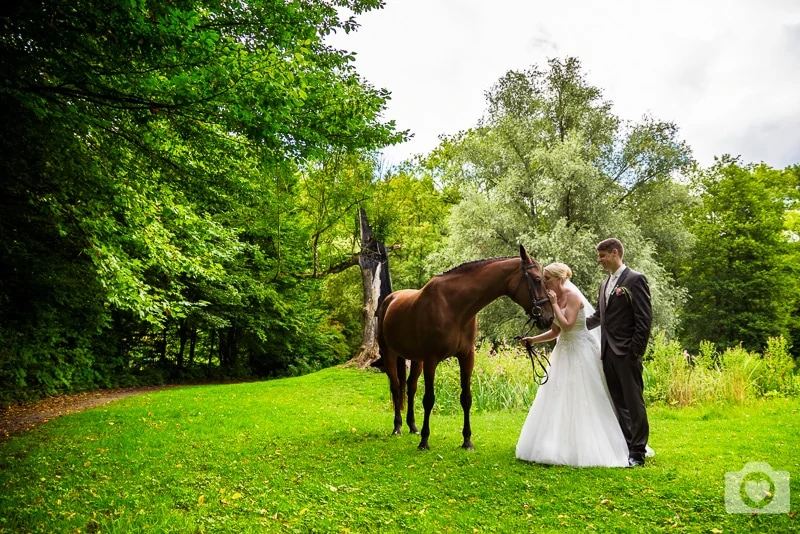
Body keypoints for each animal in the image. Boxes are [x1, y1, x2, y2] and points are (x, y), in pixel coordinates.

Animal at [374, 247, 552, 452]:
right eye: (537, 279)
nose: (549, 317)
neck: (455, 306)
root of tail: (389, 300)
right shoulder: (431, 360)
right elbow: (429, 399)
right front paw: (425, 441)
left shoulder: (466, 357)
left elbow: (466, 398)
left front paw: (467, 441)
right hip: (390, 354)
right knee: (396, 387)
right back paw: (397, 427)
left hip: (416, 360)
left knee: (410, 388)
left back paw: (412, 426)